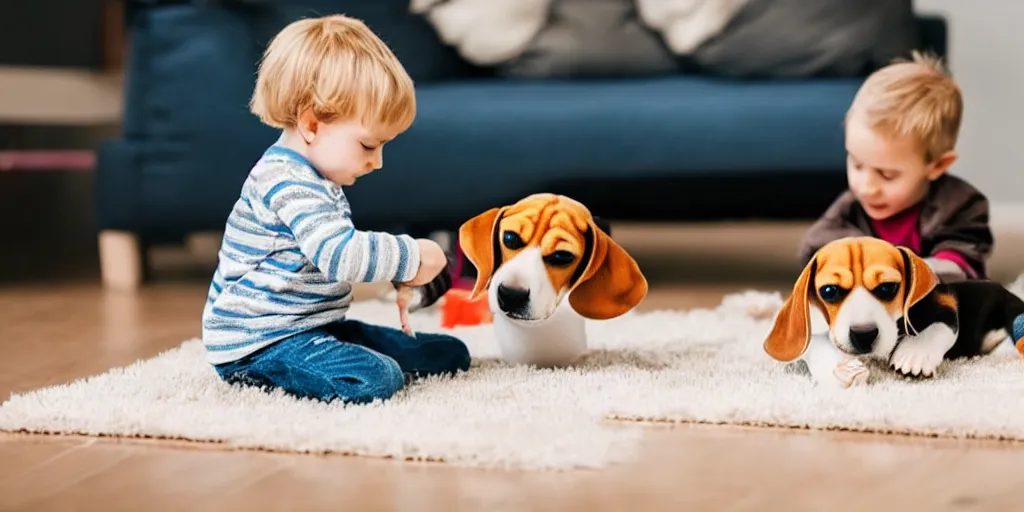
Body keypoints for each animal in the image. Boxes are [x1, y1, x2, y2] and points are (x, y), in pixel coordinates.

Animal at [761, 236, 1024, 387]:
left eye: (888, 287)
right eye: (829, 291)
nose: (863, 335)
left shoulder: (945, 301)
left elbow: (936, 327)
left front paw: (915, 354)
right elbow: (814, 344)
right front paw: (841, 368)